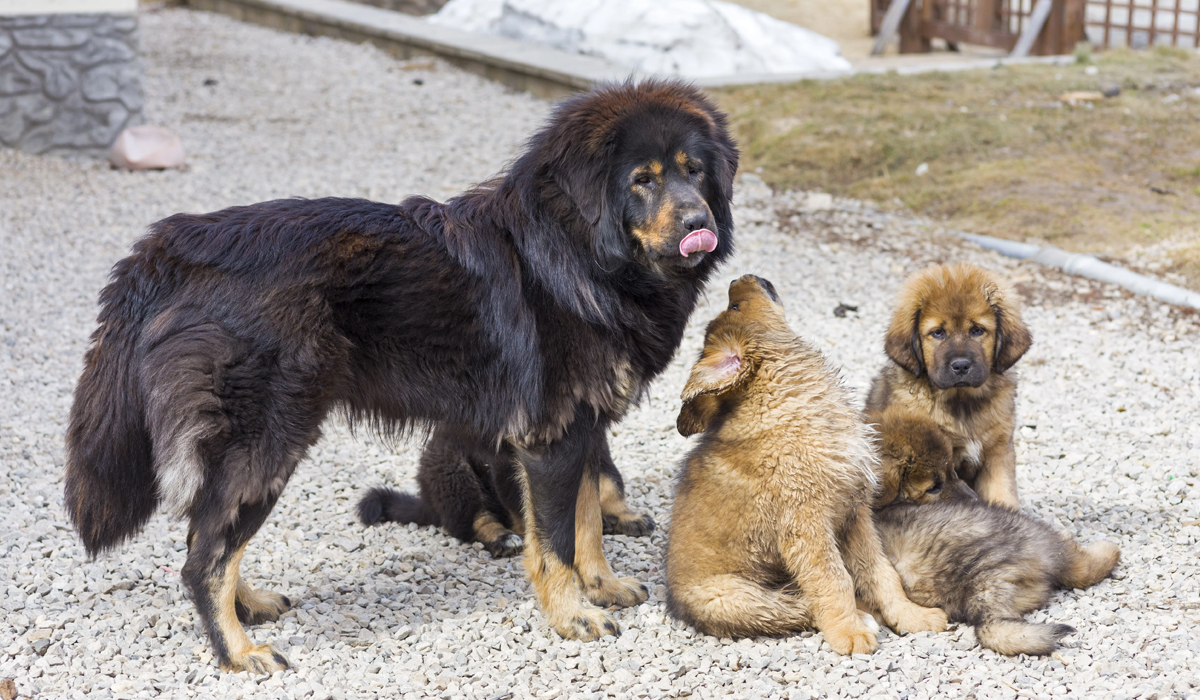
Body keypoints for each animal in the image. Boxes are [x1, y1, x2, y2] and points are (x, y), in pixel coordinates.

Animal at [68, 81, 739, 672]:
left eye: (695, 172)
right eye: (641, 179)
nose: (697, 223)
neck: (577, 253)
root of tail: (173, 244)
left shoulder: (583, 427)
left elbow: (589, 518)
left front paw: (602, 586)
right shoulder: (549, 440)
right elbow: (556, 543)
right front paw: (573, 614)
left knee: (205, 539)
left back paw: (248, 606)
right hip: (269, 445)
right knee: (203, 557)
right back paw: (237, 653)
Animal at [667, 274, 945, 657]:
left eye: (734, 304)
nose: (738, 277)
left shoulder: (854, 514)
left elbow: (881, 572)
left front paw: (910, 616)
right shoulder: (805, 524)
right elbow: (834, 579)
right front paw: (848, 633)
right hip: (733, 598)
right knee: (793, 605)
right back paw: (861, 618)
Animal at [868, 262, 1036, 509]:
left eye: (977, 330)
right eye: (938, 332)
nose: (961, 365)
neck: (962, 402)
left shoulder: (998, 450)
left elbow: (1002, 492)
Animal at [868, 413, 1118, 653]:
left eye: (953, 471)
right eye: (933, 487)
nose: (975, 499)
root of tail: (980, 587)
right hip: (1030, 533)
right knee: (1081, 565)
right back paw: (1108, 550)